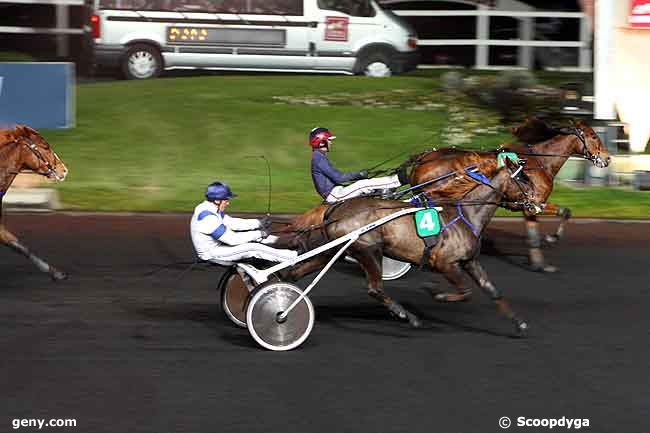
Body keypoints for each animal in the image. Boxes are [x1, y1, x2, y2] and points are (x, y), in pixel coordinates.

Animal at [274, 160, 532, 336]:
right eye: (524, 178)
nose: (535, 200)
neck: (465, 214)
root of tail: (335, 208)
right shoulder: (445, 263)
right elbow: (465, 291)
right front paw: (434, 292)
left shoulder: (470, 261)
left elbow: (492, 290)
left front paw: (520, 323)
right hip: (369, 249)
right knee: (375, 289)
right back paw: (407, 316)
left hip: (336, 250)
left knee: (295, 272)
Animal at [402, 116, 612, 272]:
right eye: (594, 136)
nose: (607, 158)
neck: (538, 162)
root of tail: (423, 158)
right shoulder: (535, 202)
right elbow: (566, 212)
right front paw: (553, 238)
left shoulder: (530, 206)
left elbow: (534, 236)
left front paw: (540, 265)